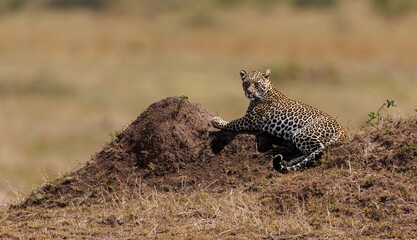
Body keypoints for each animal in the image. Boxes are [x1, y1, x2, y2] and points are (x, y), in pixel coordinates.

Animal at [211, 68, 344, 172]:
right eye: (246, 83)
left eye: (256, 84)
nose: (248, 92)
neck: (268, 89)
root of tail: (342, 130)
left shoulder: (251, 120)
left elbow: (232, 122)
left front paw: (217, 120)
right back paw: (291, 161)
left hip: (302, 133)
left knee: (319, 150)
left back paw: (292, 161)